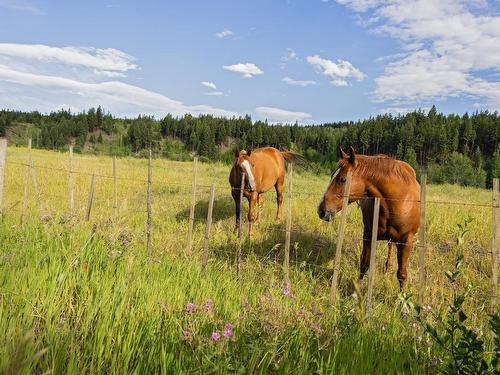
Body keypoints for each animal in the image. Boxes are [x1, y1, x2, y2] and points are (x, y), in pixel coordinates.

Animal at [318, 147, 420, 290]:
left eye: (343, 179)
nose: (322, 210)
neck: (397, 201)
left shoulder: (406, 241)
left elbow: (402, 274)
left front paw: (403, 296)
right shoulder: (368, 234)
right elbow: (364, 264)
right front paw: (356, 290)